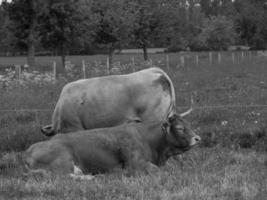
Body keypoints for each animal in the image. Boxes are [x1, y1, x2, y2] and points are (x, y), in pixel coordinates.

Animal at [25, 114, 201, 177]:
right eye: (180, 128)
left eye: (189, 125)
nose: (197, 138)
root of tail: (29, 150)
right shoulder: (135, 164)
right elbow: (158, 170)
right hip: (63, 162)